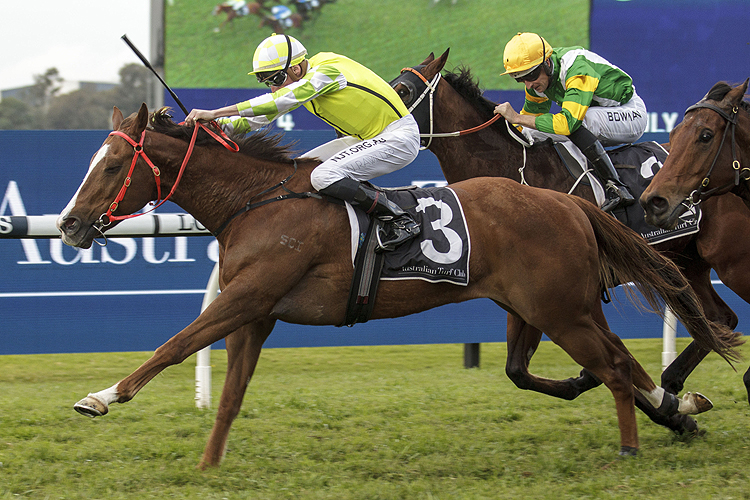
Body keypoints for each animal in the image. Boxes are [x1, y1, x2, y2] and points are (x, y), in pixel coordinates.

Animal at [57, 103, 740, 466]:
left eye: (112, 165)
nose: (67, 224)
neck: (260, 201)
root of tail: (568, 202)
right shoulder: (256, 312)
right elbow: (228, 396)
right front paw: (208, 464)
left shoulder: (247, 296)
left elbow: (173, 345)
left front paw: (101, 397)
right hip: (552, 306)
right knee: (613, 362)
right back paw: (678, 409)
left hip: (562, 310)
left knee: (619, 366)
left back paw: (632, 444)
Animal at [390, 49, 750, 414]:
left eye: (403, 89)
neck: (515, 171)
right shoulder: (525, 293)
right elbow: (517, 369)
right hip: (690, 263)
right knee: (721, 318)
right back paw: (675, 381)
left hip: (733, 263)